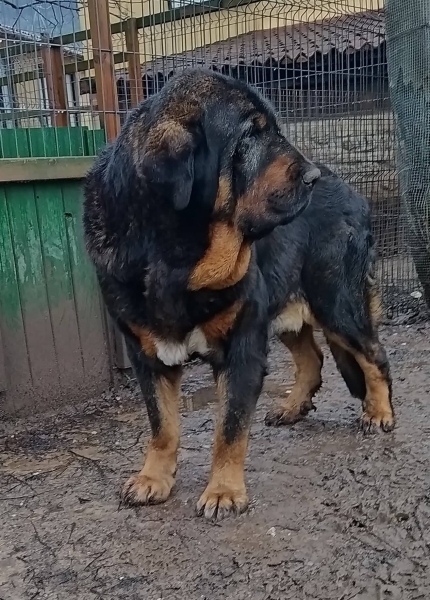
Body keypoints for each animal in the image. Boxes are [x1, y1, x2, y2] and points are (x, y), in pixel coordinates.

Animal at [83, 69, 394, 520]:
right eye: (249, 135)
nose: (312, 176)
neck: (178, 259)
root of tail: (353, 192)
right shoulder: (147, 354)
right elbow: (162, 425)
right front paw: (153, 478)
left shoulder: (242, 346)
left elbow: (229, 428)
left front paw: (224, 491)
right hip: (289, 310)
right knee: (312, 358)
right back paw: (293, 407)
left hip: (338, 303)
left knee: (373, 355)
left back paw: (380, 411)